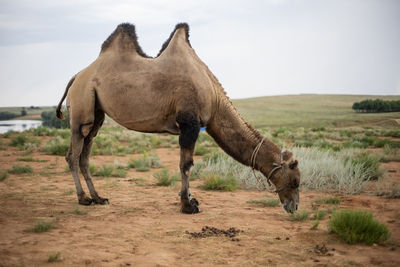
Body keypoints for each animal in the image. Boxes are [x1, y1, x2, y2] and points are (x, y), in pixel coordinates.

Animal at [56, 23, 300, 216]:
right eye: (295, 180)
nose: (294, 207)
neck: (214, 97)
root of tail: (76, 76)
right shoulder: (189, 123)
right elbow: (186, 165)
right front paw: (187, 205)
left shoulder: (190, 126)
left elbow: (187, 164)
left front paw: (191, 200)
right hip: (81, 107)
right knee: (73, 154)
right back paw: (83, 199)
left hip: (96, 113)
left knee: (85, 153)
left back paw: (98, 197)